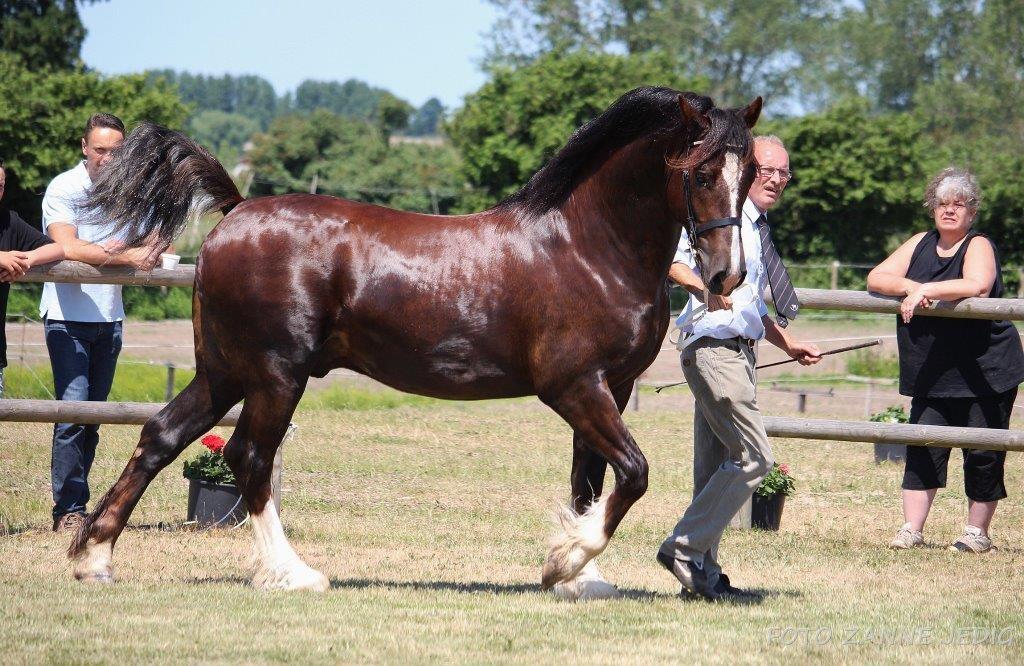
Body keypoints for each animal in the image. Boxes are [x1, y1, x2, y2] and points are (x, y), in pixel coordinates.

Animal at [72, 88, 761, 598]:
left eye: (751, 171)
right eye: (702, 172)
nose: (727, 277)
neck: (587, 247)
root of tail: (238, 212)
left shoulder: (609, 389)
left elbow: (589, 483)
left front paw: (579, 576)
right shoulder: (573, 387)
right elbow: (634, 472)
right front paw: (563, 564)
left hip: (224, 373)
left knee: (162, 436)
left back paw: (93, 558)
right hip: (275, 375)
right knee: (249, 458)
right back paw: (294, 574)